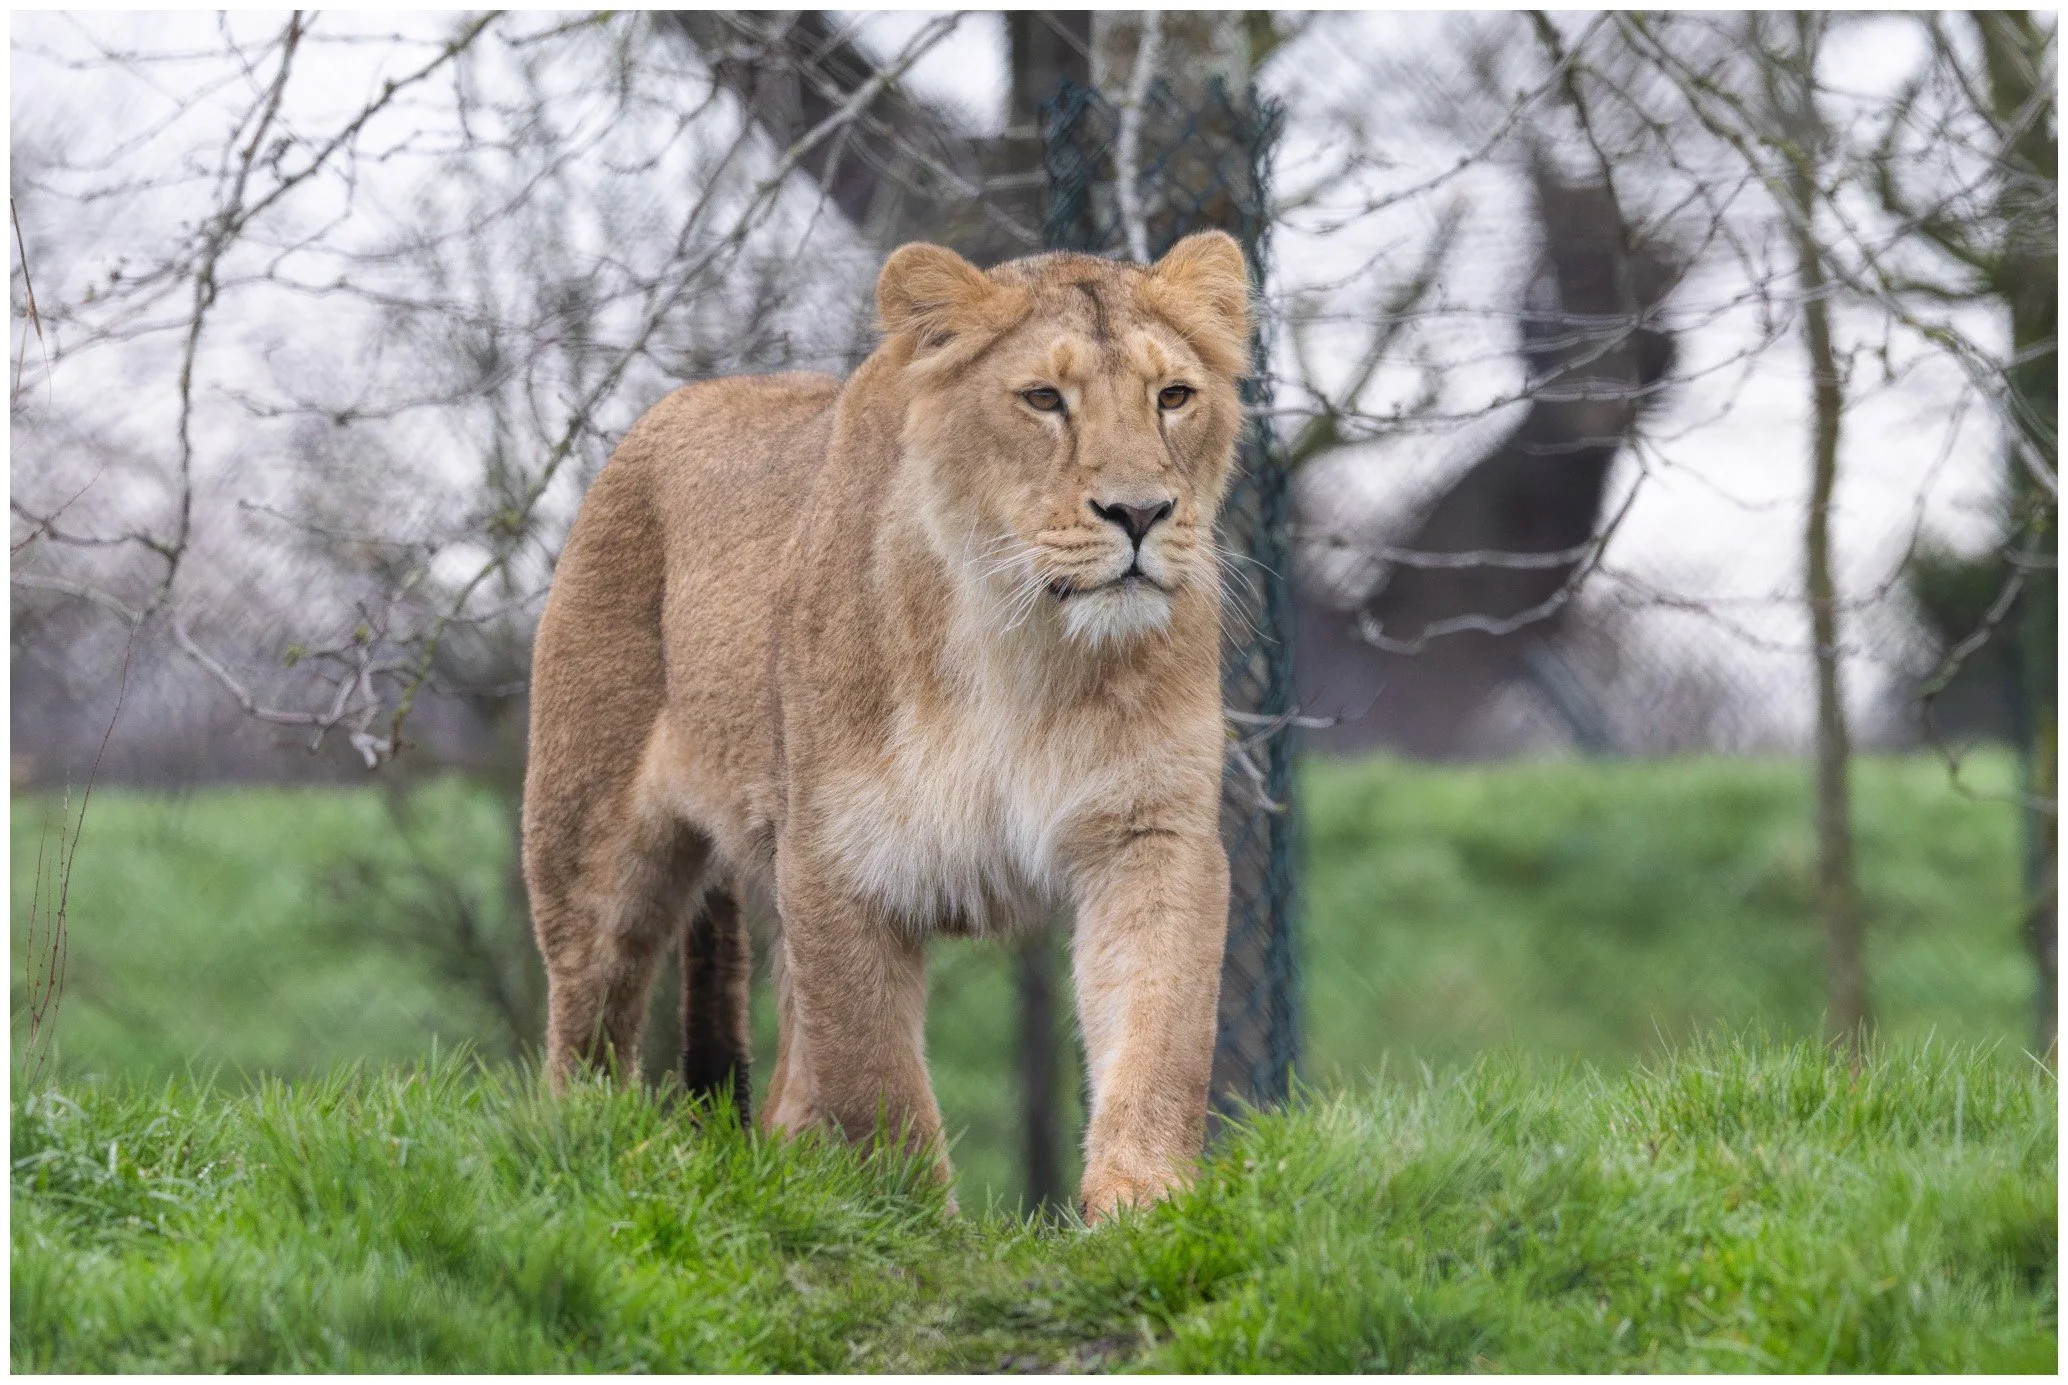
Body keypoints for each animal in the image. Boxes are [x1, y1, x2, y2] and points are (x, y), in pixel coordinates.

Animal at [521, 232, 1249, 1222]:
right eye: (1043, 399)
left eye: (1173, 396)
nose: (1139, 513)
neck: (1025, 645)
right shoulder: (835, 857)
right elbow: (876, 1085)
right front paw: (911, 1222)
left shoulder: (1148, 833)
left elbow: (1158, 1026)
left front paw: (1143, 1205)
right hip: (590, 849)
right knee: (589, 1017)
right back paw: (589, 1151)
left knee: (783, 1078)